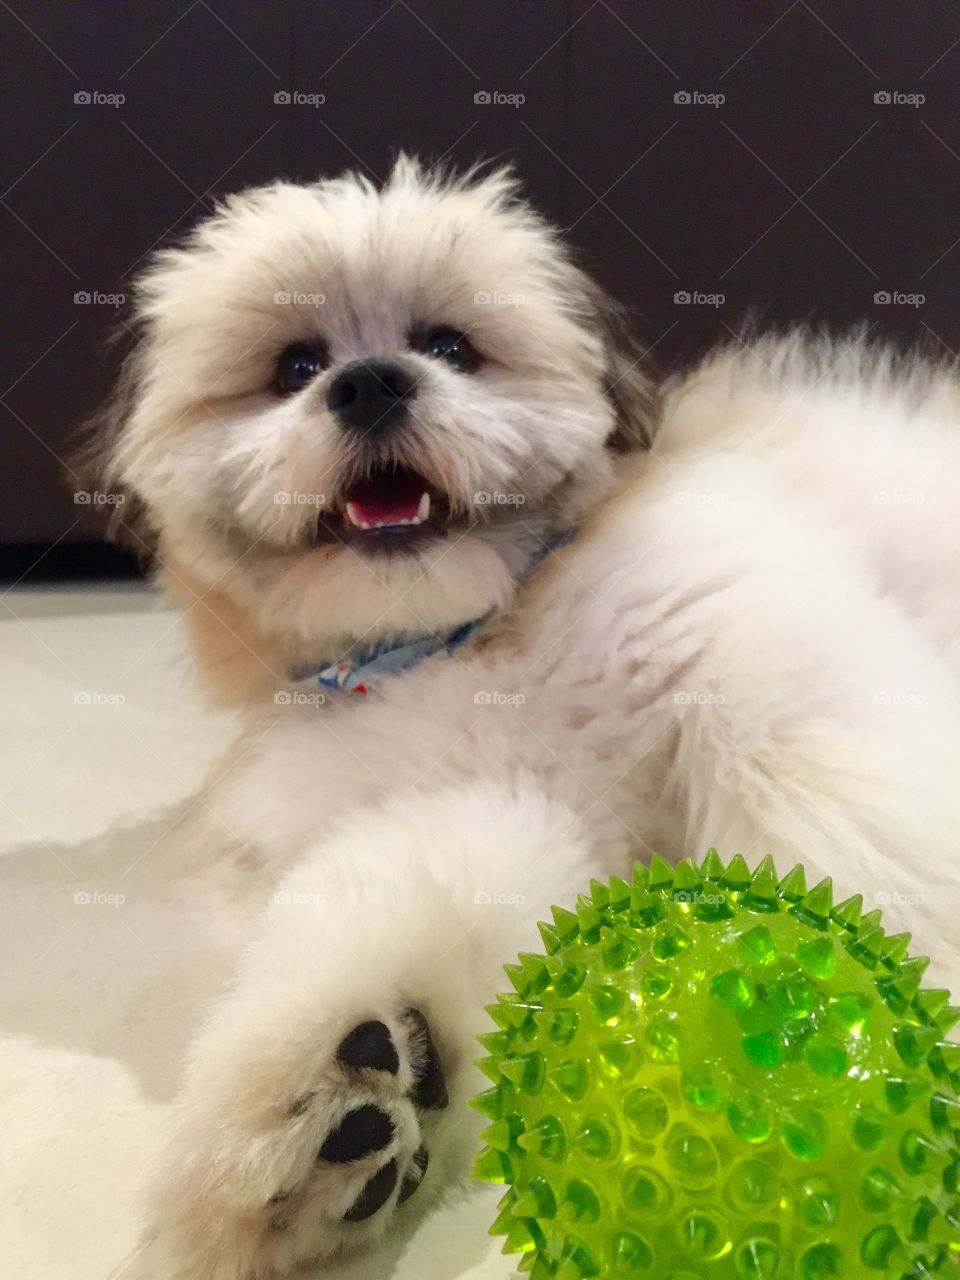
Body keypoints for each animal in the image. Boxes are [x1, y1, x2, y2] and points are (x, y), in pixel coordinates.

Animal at [84, 160, 960, 1280]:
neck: (474, 640)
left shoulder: (773, 683)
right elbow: (421, 899)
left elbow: (864, 870)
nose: (370, 381)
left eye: (451, 346)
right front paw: (360, 1081)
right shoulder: (491, 807)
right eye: (295, 366)